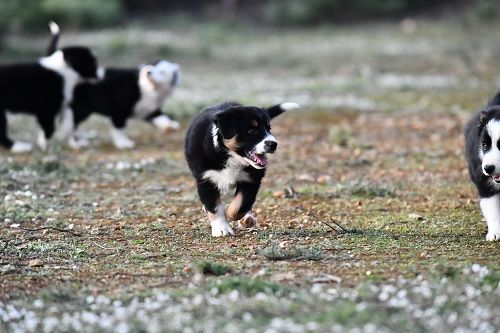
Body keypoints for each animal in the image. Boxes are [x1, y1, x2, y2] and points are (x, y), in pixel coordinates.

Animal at [0, 22, 101, 152]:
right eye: (93, 63)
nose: (102, 74)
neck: (62, 71)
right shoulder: (47, 109)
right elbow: (49, 129)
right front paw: (44, 144)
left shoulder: (62, 107)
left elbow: (68, 128)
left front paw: (76, 143)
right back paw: (20, 146)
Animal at [186, 101, 298, 236]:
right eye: (252, 130)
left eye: (269, 129)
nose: (273, 144)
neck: (230, 157)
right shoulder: (206, 179)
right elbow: (214, 207)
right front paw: (222, 229)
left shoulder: (251, 179)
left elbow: (241, 205)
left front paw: (231, 212)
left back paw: (248, 218)